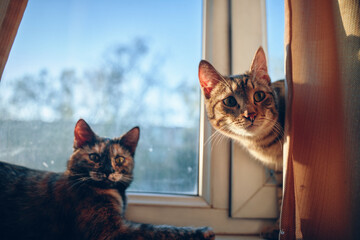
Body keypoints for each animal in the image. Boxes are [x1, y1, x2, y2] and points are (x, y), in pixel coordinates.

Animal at [0, 119, 214, 239]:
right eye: (94, 157)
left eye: (119, 159)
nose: (108, 170)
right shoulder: (112, 231)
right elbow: (157, 229)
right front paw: (202, 231)